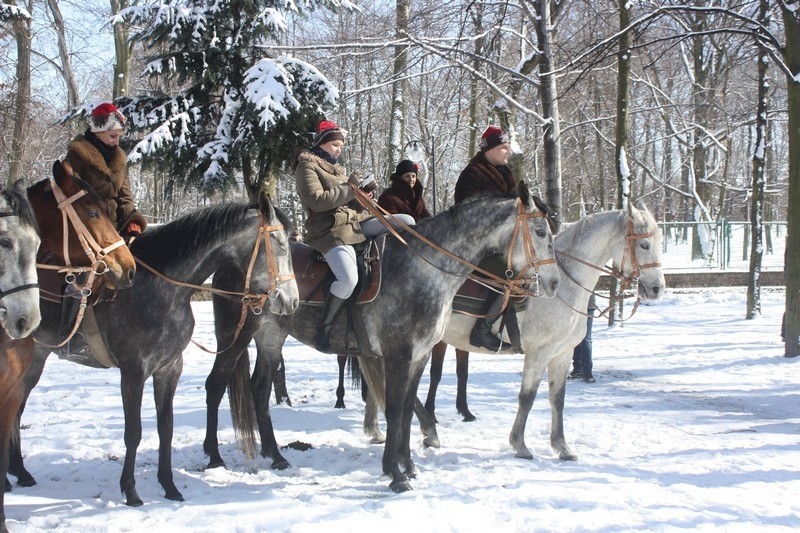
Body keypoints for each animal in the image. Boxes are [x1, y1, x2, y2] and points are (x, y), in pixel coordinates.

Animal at [7, 194, 296, 508]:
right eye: (282, 246)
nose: (292, 301)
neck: (163, 289)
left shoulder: (169, 369)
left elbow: (165, 428)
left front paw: (169, 487)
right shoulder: (133, 372)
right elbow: (133, 432)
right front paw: (131, 492)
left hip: (34, 361)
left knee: (15, 411)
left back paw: (20, 473)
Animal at [205, 187, 556, 490]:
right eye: (540, 231)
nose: (552, 283)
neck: (424, 269)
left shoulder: (419, 356)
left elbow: (406, 408)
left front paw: (408, 465)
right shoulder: (398, 354)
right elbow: (395, 409)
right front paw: (395, 473)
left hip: (271, 338)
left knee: (260, 389)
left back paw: (275, 456)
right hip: (235, 336)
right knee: (216, 384)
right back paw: (214, 456)